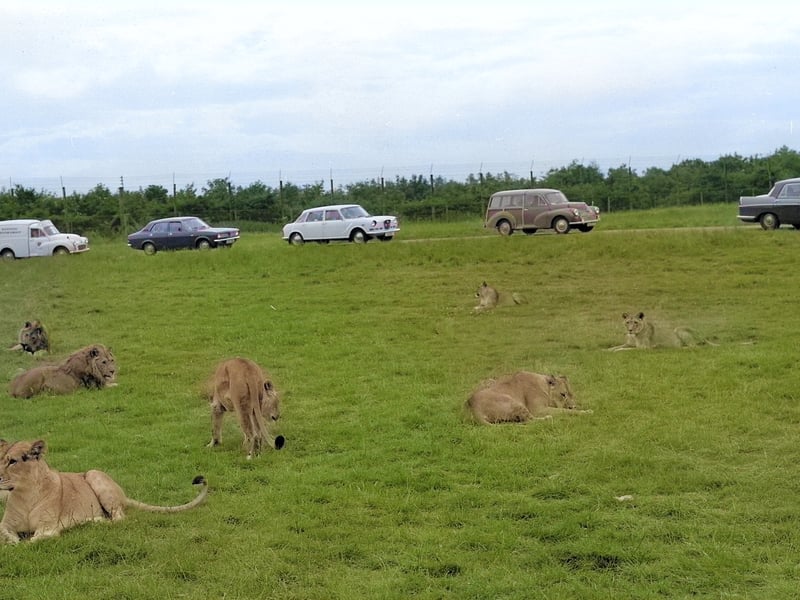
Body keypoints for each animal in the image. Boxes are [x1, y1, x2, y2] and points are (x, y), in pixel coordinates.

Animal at [0, 439, 207, 544]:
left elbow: (32, 541)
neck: (25, 493)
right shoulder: (5, 524)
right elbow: (7, 535)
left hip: (94, 474)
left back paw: (92, 522)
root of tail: (124, 495)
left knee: (118, 518)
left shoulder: (48, 528)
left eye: (12, 461)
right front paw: (12, 542)